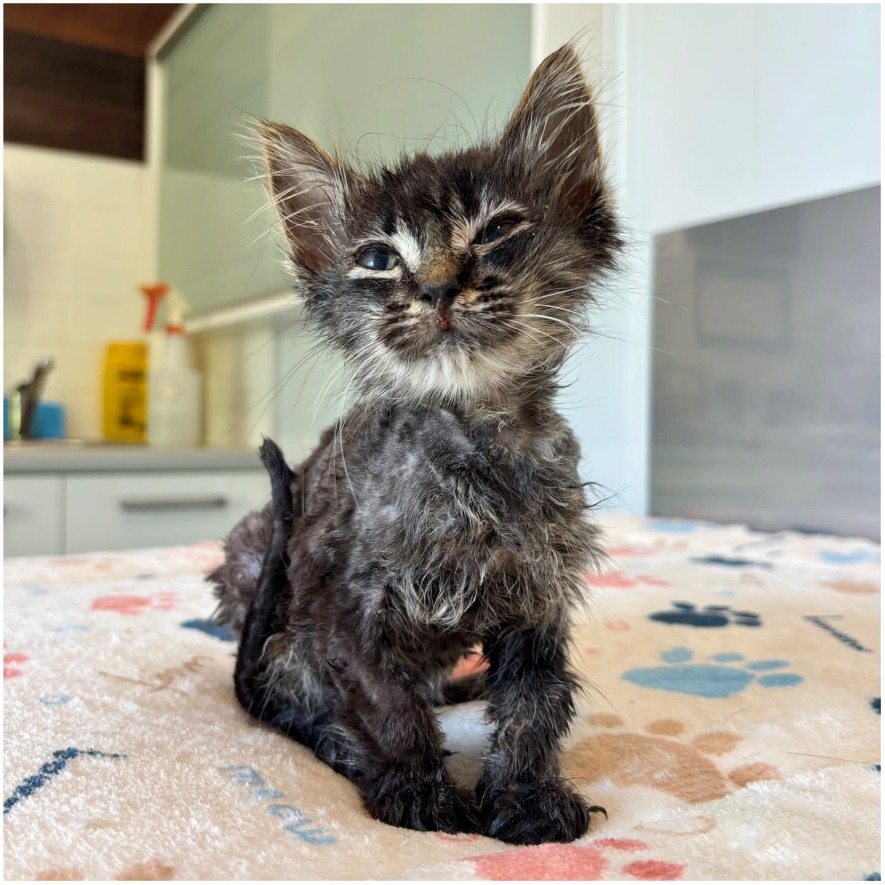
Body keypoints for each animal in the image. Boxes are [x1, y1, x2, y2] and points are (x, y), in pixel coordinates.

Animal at [208, 43, 622, 845]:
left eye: (495, 229)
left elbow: (535, 704)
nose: (436, 288)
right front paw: (418, 789)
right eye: (377, 259)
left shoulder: (538, 593)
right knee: (286, 695)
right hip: (250, 555)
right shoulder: (336, 600)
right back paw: (340, 744)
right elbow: (384, 702)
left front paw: (527, 794)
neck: (473, 449)